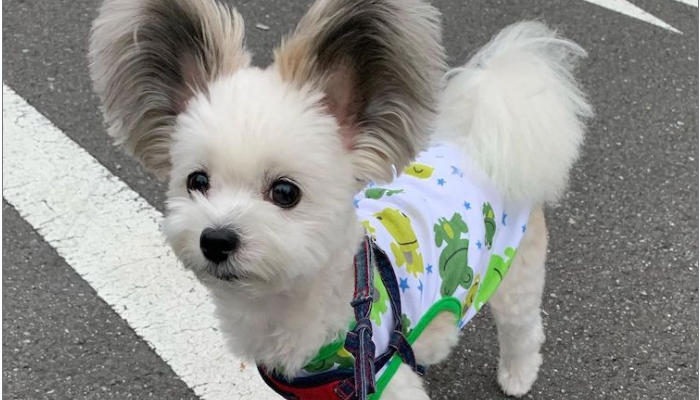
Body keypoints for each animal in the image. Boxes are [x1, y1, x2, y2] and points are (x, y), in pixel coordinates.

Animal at [87, 0, 592, 398]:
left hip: (514, 274)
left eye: (285, 192)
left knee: (523, 327)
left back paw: (518, 376)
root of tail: (478, 140)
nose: (216, 239)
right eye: (197, 181)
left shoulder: (385, 383)